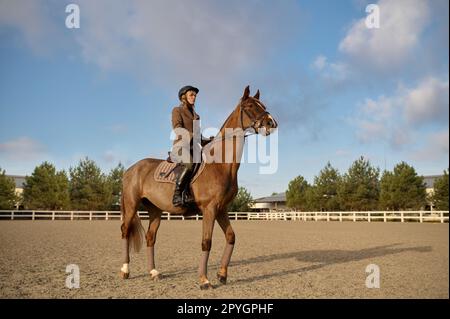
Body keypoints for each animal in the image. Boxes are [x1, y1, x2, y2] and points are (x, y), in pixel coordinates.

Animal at [120, 85, 278, 290]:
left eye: (263, 105)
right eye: (250, 106)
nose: (271, 123)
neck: (220, 164)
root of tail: (131, 169)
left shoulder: (221, 209)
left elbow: (231, 237)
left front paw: (222, 275)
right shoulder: (209, 209)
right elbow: (206, 242)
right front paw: (204, 280)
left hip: (155, 210)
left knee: (150, 237)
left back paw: (153, 272)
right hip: (132, 205)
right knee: (125, 231)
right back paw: (125, 270)